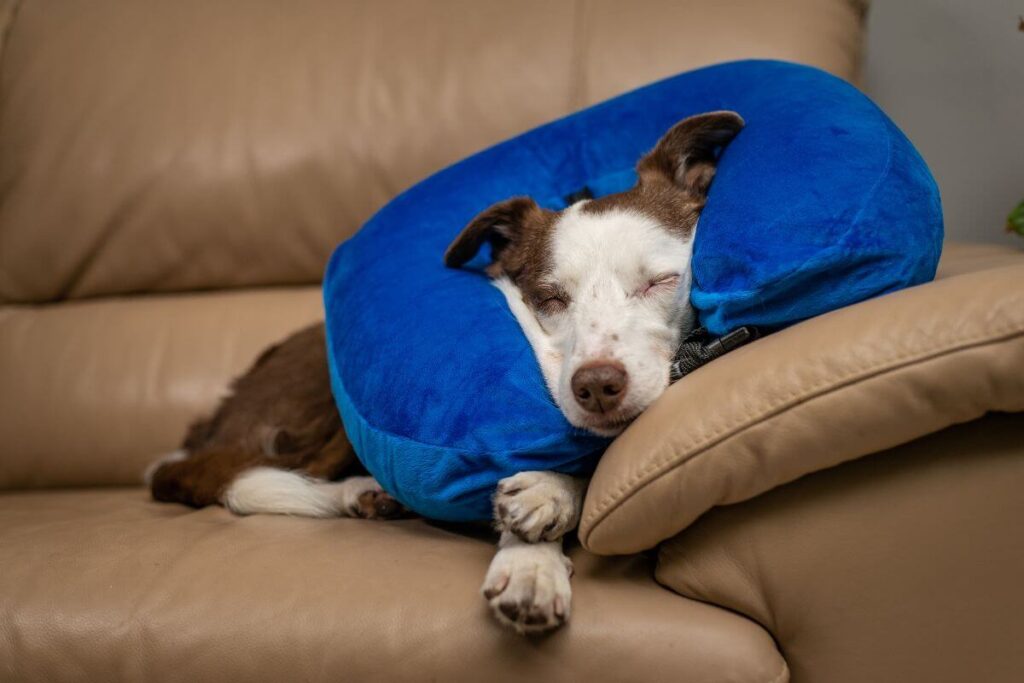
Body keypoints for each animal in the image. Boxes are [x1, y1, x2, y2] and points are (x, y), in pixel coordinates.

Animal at [148, 111, 745, 634]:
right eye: (548, 299)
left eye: (659, 282)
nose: (596, 387)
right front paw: (533, 553)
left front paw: (546, 504)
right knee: (261, 474)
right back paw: (359, 493)